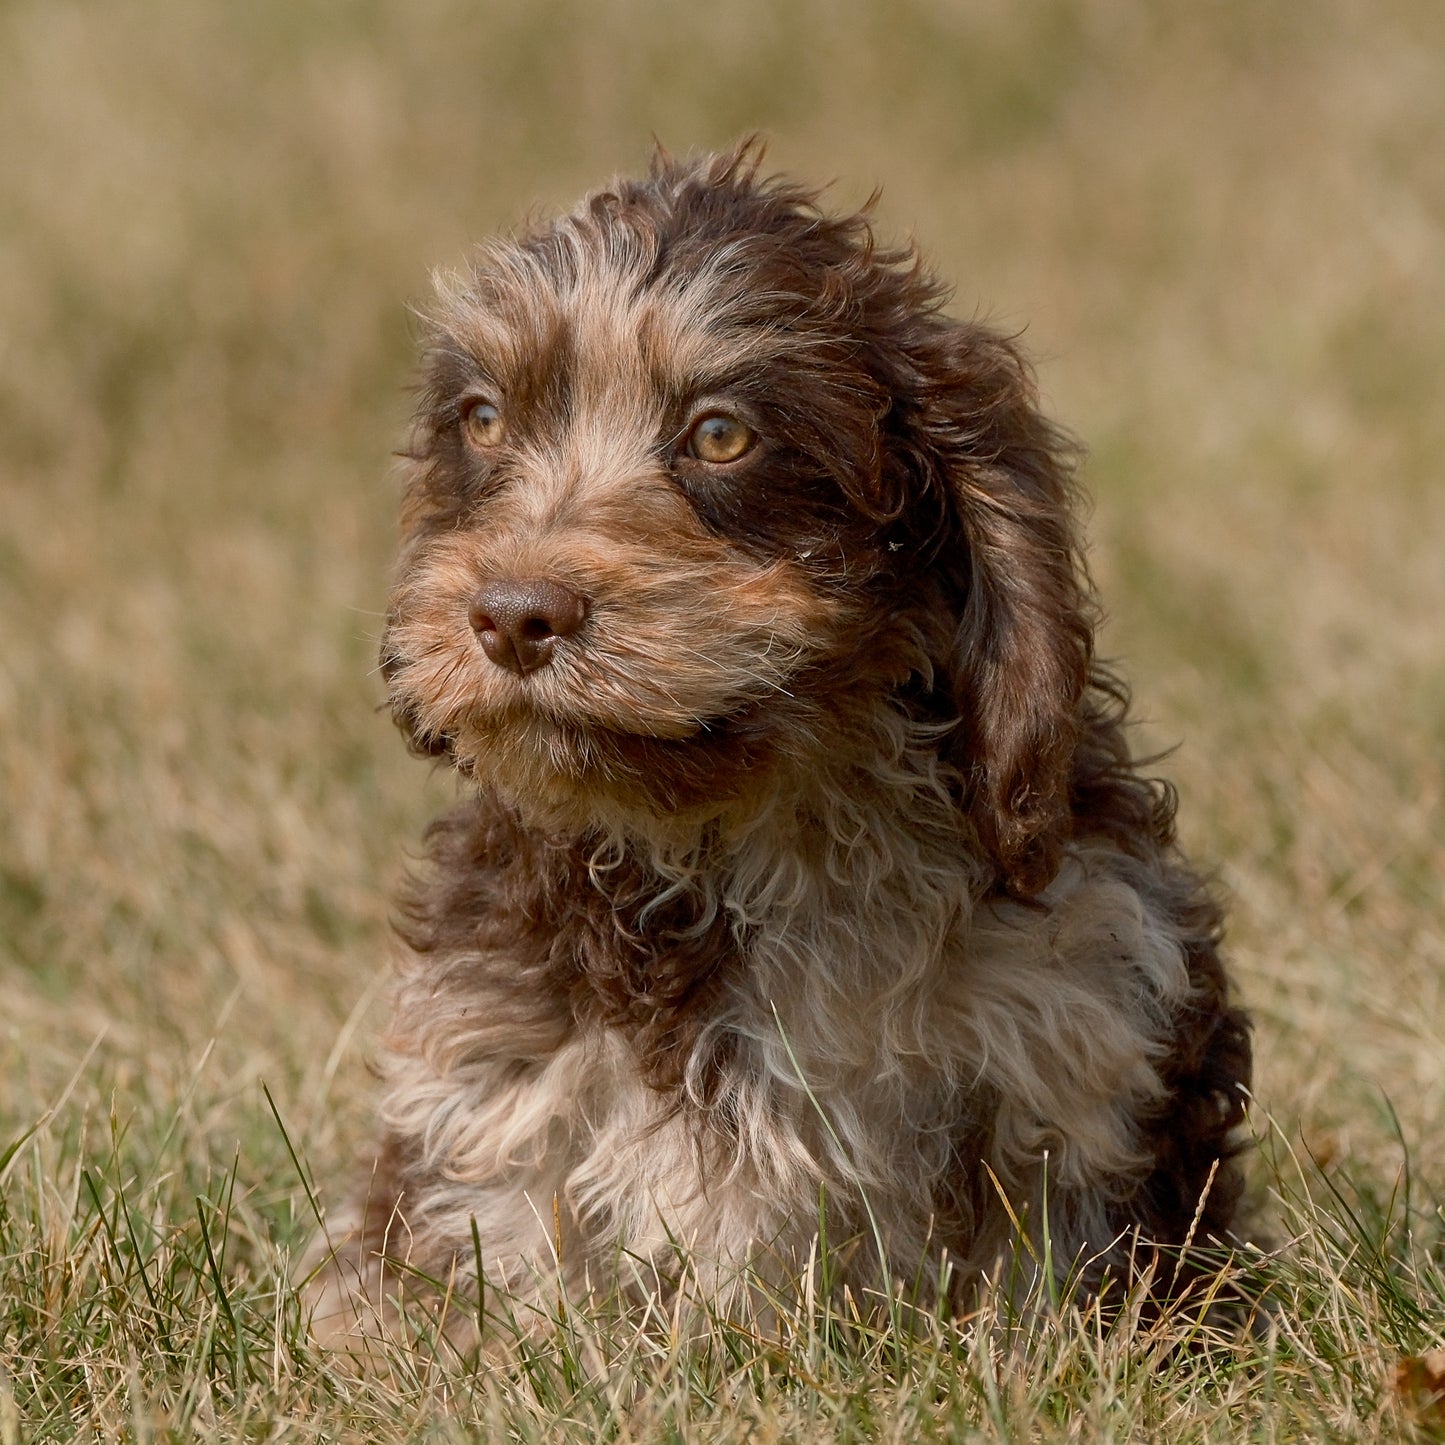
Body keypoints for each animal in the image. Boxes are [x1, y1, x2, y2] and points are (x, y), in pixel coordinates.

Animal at [307, 143, 1254, 1340]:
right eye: (481, 419)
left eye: (721, 434)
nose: (514, 615)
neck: (756, 834)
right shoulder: (496, 1089)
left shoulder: (1082, 1040)